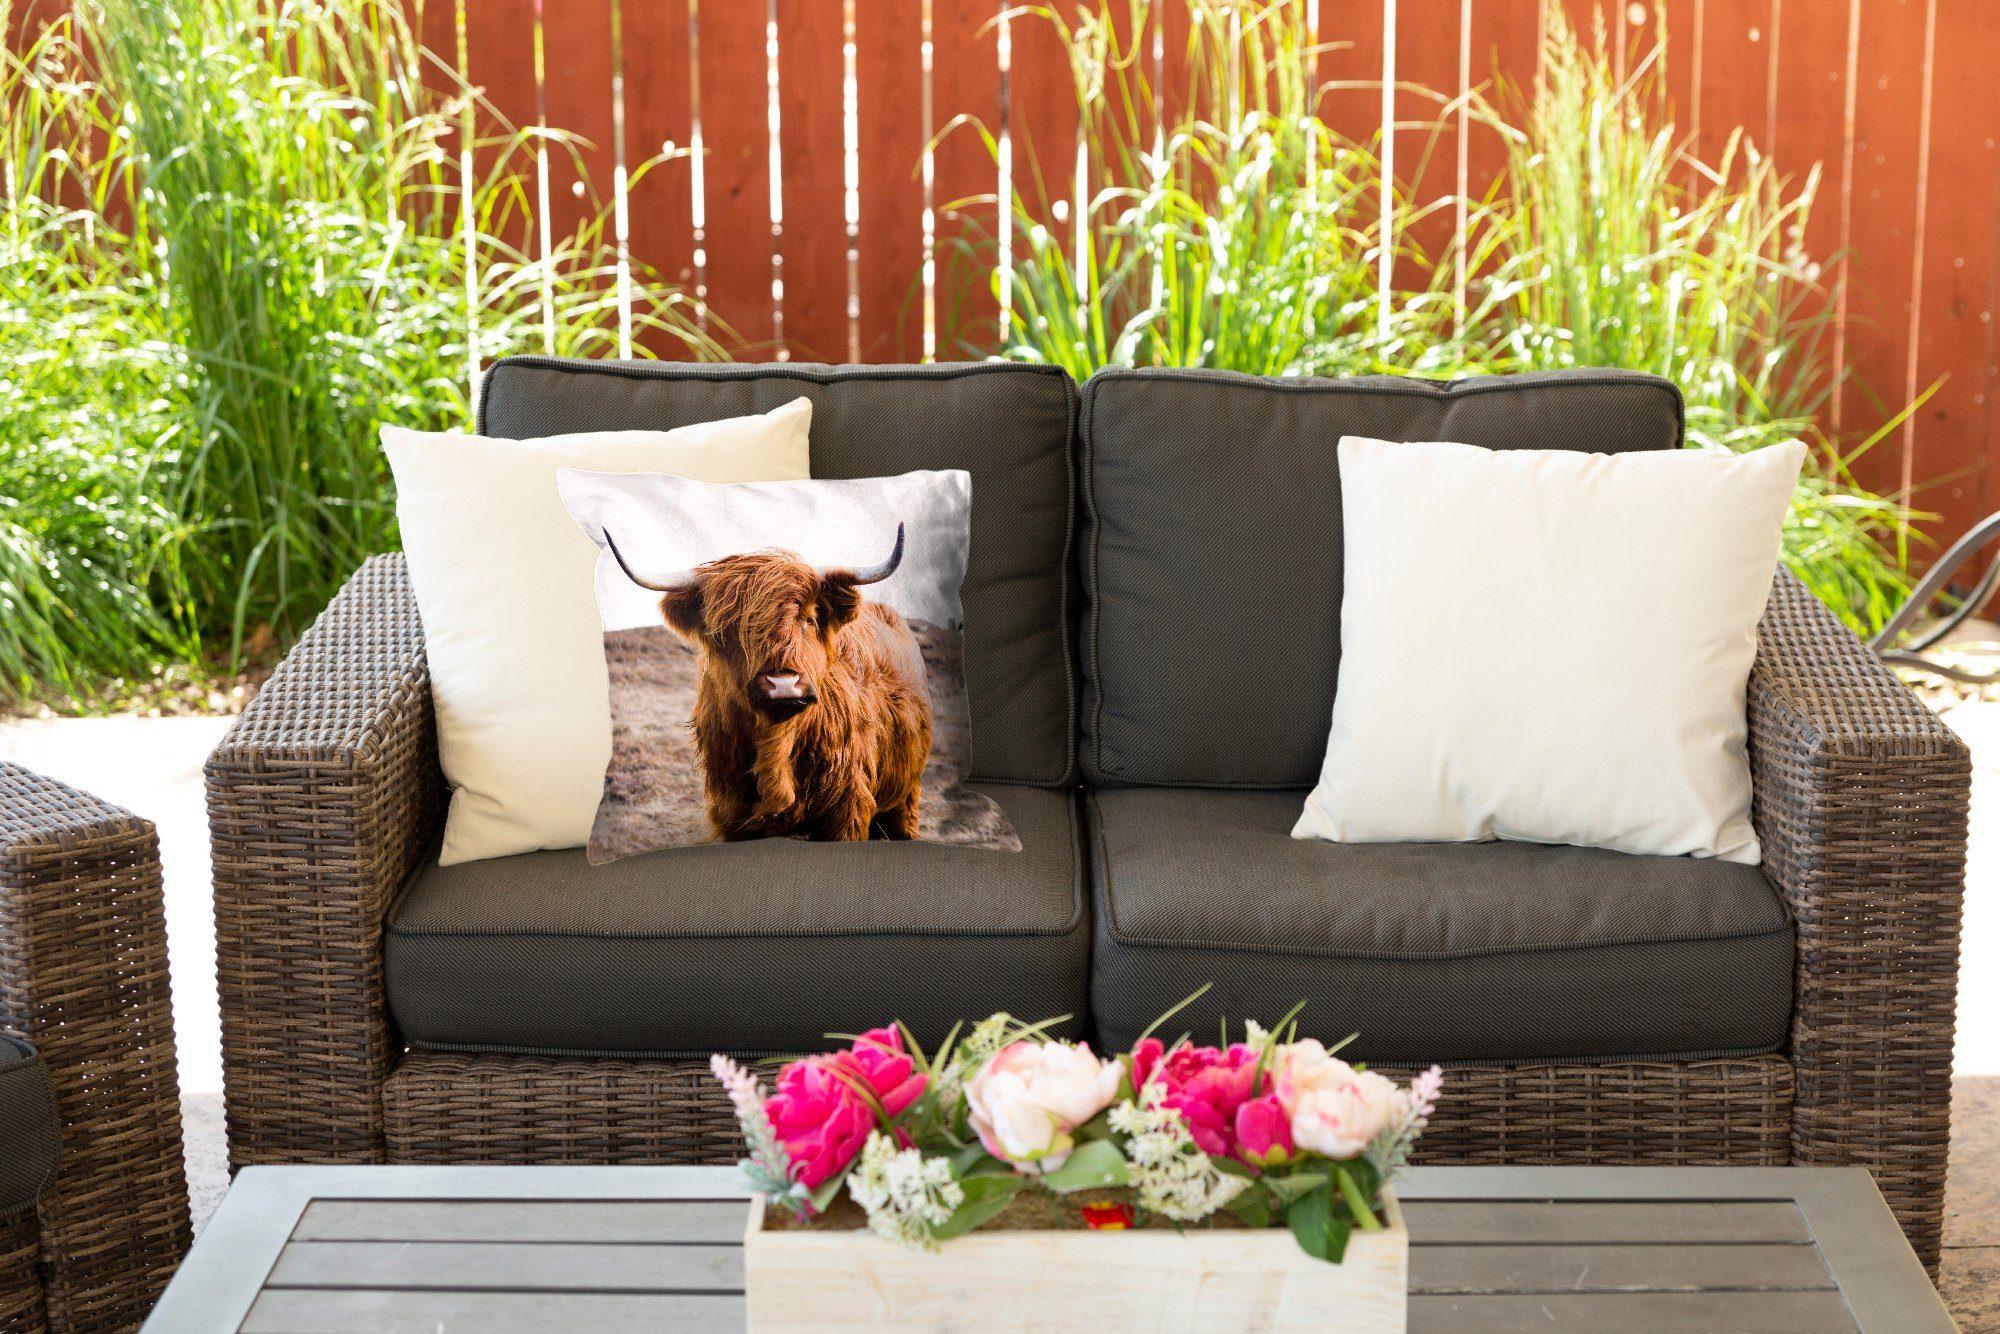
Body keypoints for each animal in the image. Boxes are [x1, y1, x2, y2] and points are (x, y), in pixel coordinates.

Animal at [604, 523, 933, 843]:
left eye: (809, 619)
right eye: (727, 630)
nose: (783, 684)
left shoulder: (848, 807)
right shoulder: (730, 813)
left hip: (908, 792)